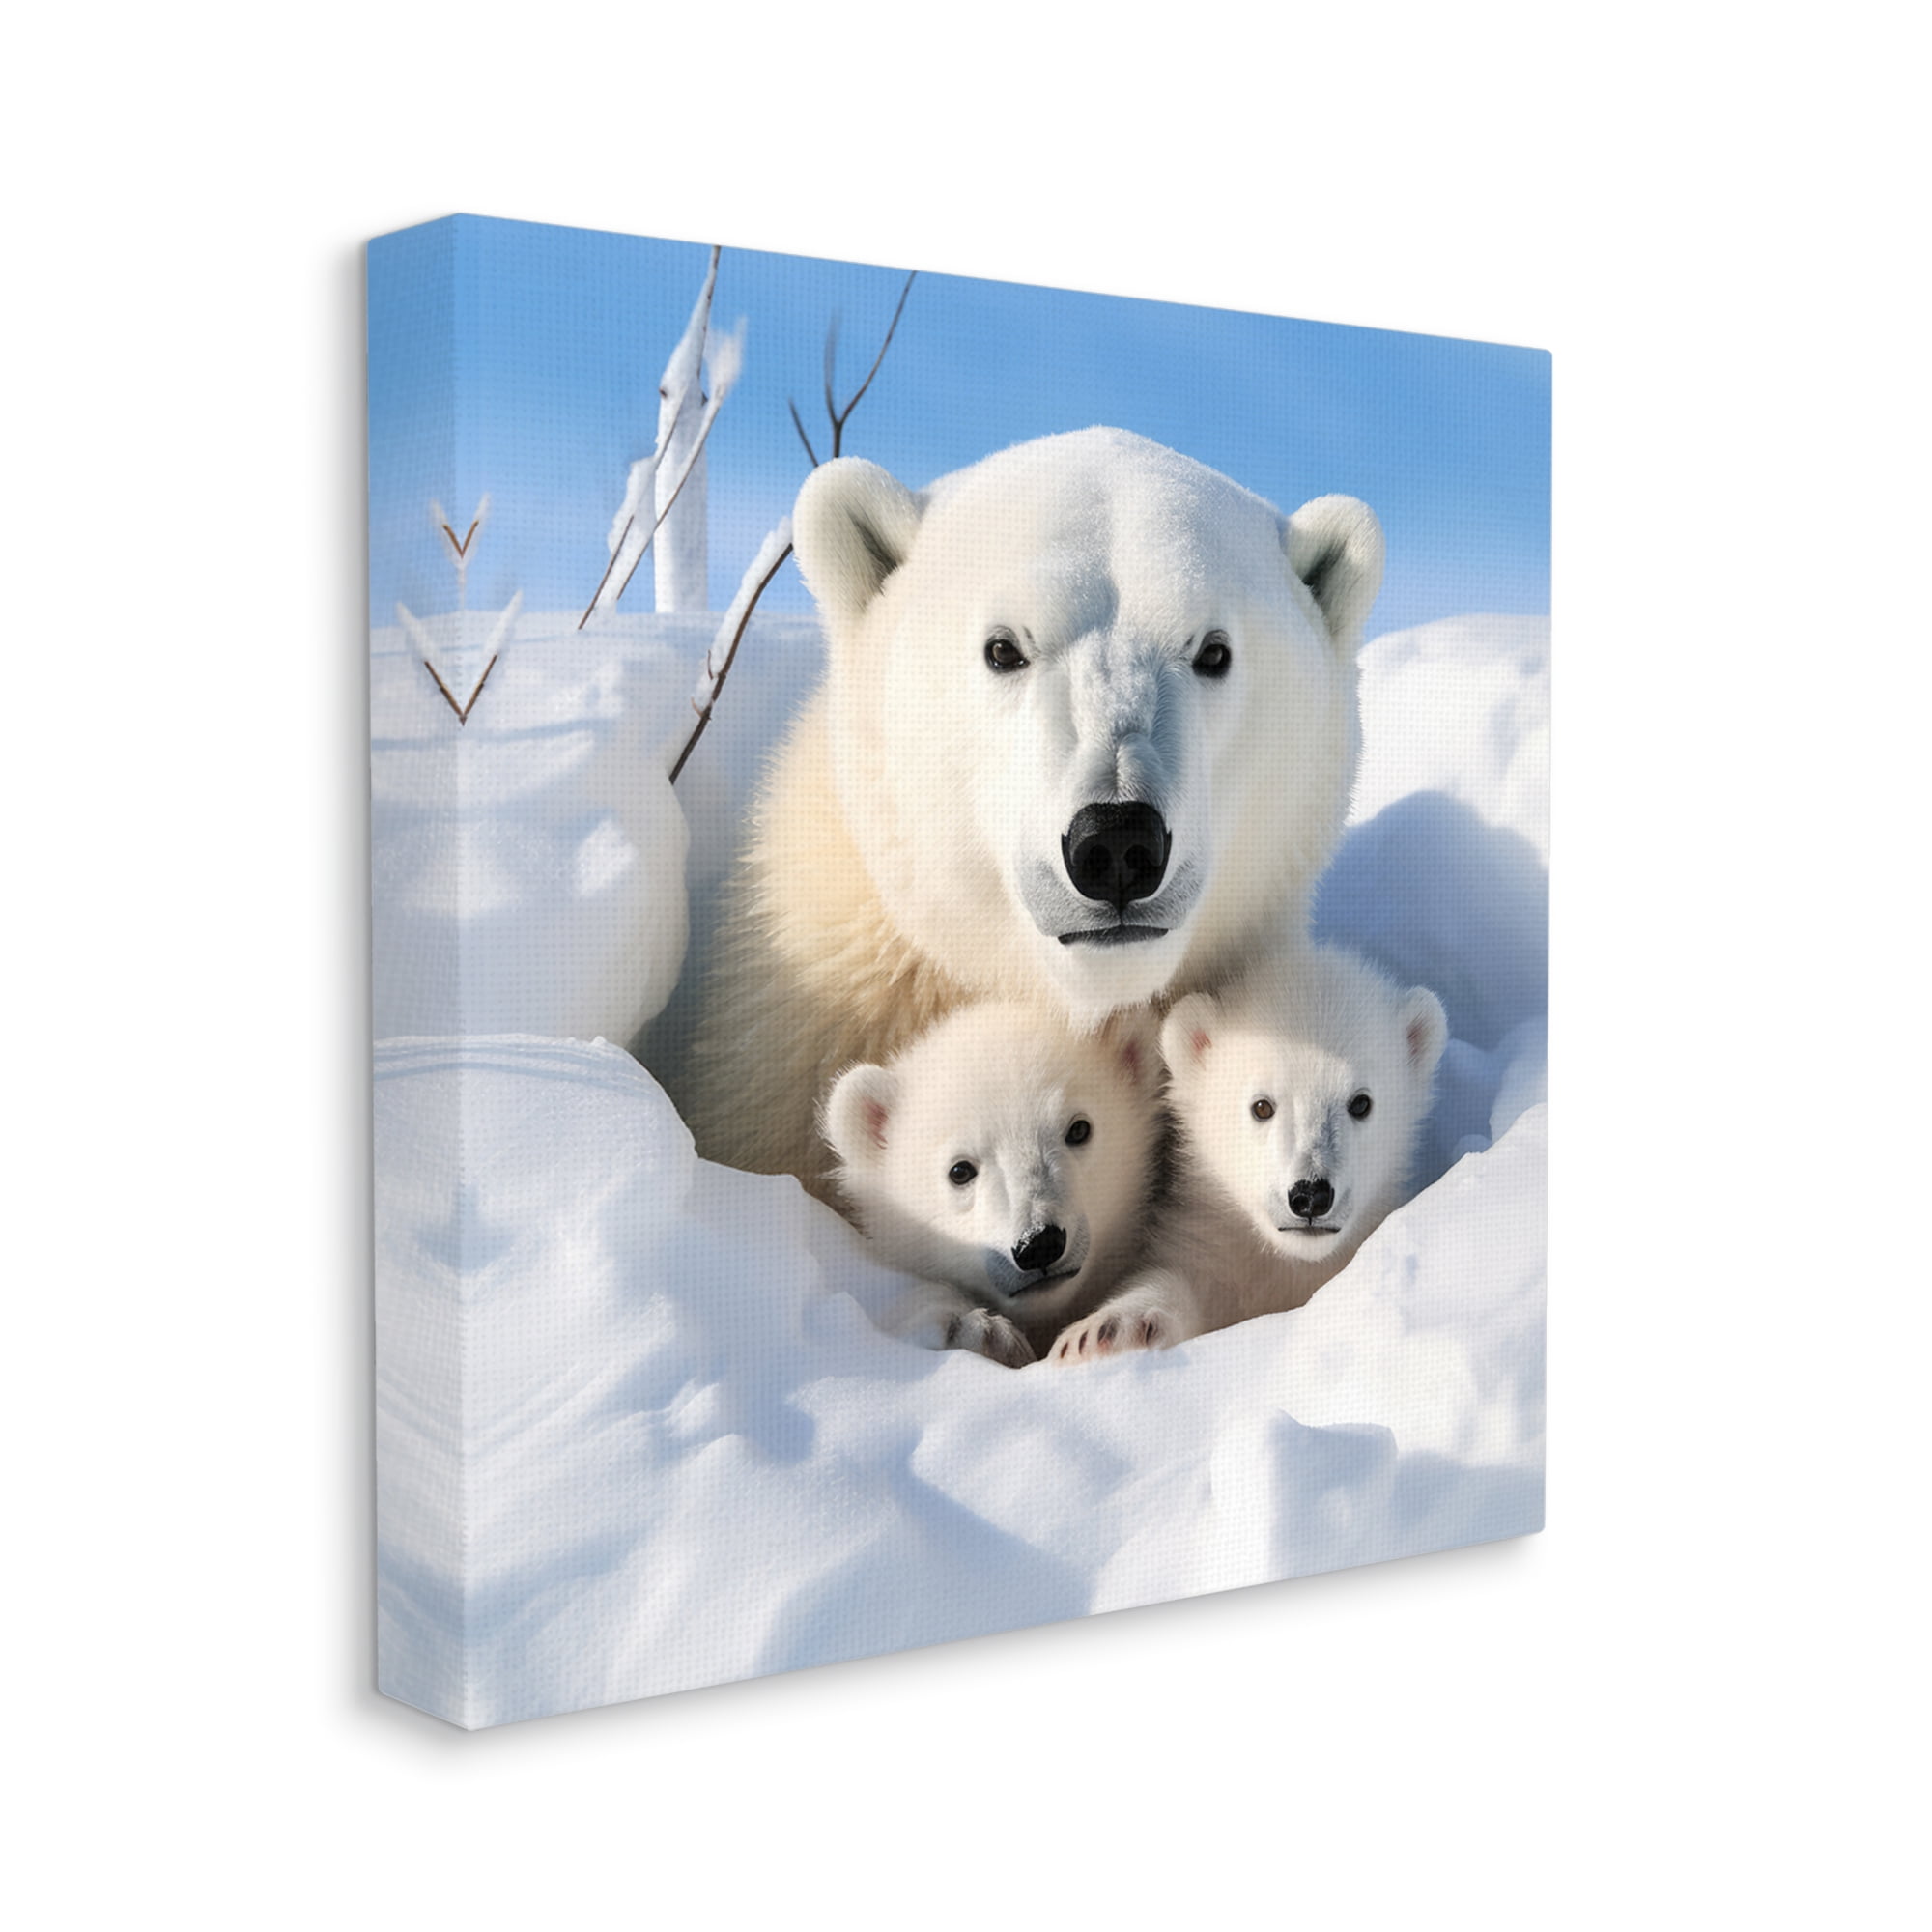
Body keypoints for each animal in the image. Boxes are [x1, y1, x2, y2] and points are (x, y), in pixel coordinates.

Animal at [1048, 942, 1448, 1362]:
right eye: (1262, 1106)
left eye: (1361, 1103)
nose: (1310, 1195)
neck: (1289, 1267)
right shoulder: (1215, 1255)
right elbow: (1178, 1280)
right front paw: (1102, 1331)